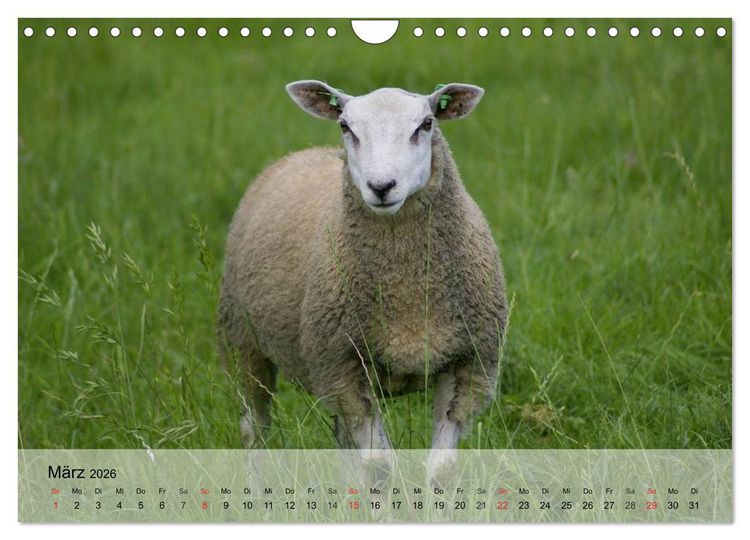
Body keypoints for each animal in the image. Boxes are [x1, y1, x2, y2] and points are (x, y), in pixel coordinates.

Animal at [218, 80, 507, 481]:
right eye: (345, 126)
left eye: (426, 124)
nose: (381, 186)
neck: (405, 285)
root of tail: (303, 152)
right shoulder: (343, 367)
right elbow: (379, 464)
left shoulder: (469, 364)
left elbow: (441, 468)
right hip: (243, 342)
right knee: (254, 433)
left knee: (340, 437)